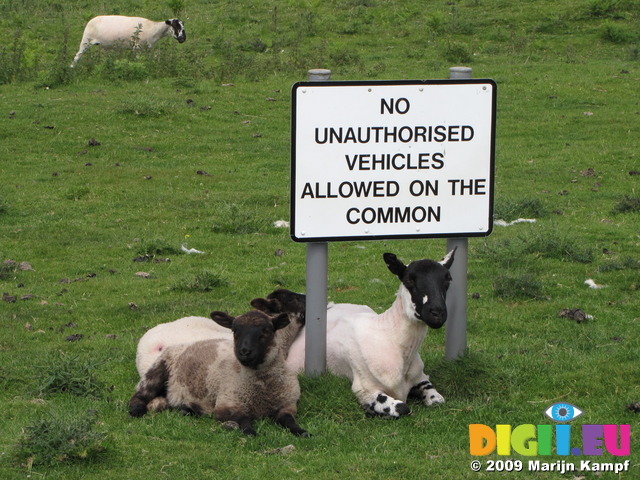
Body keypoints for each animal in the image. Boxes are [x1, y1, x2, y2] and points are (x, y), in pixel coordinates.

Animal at [129, 310, 308, 436]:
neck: (262, 389)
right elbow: (244, 420)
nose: (244, 352)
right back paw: (136, 410)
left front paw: (302, 432)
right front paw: (251, 432)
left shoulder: (288, 405)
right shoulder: (226, 405)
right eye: (235, 330)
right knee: (139, 395)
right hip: (157, 371)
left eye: (266, 330)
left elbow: (289, 420)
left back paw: (186, 409)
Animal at [284, 249, 456, 418]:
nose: (437, 313)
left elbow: (437, 400)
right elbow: (402, 407)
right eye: (409, 280)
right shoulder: (365, 390)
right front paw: (373, 411)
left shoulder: (421, 377)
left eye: (448, 279)